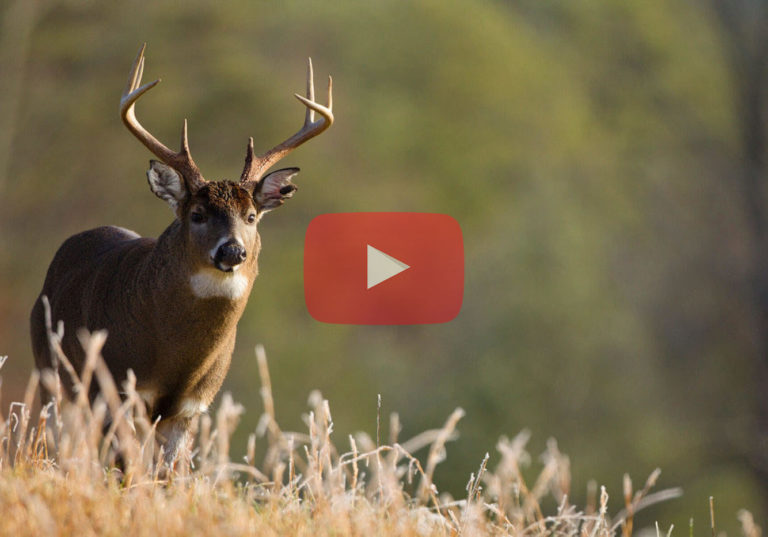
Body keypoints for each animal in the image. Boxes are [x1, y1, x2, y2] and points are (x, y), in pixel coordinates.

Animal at [29, 44, 333, 463]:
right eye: (197, 214)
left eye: (251, 216)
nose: (233, 250)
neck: (174, 358)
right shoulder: (117, 390)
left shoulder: (191, 408)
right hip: (54, 378)